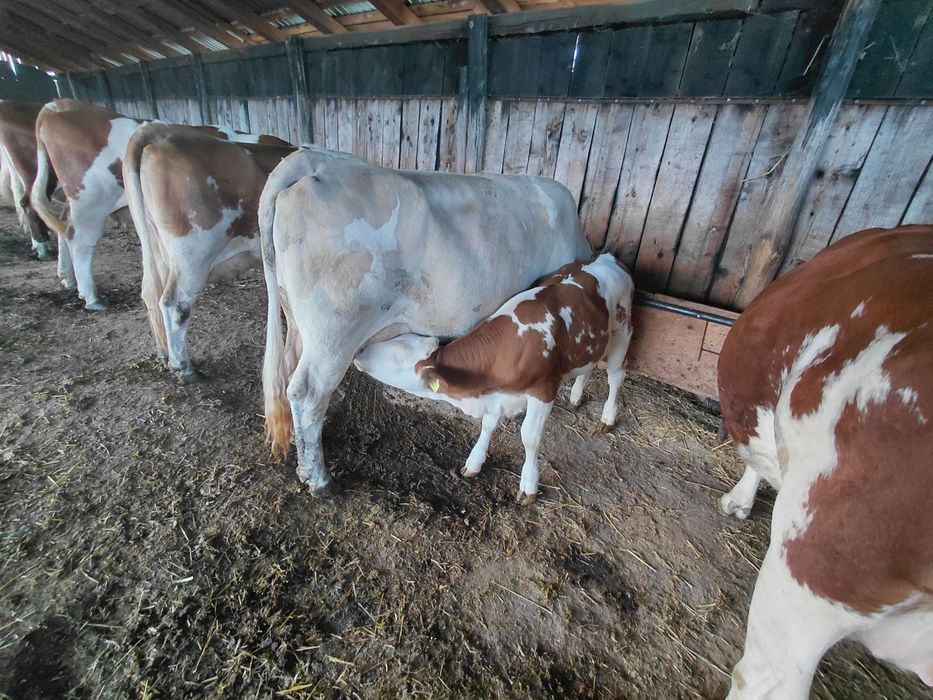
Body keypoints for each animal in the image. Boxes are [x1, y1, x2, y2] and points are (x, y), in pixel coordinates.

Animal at [30, 99, 291, 310]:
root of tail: (57, 105)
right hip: (97, 207)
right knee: (81, 242)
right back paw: (93, 298)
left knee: (64, 228)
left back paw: (67, 278)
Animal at [123, 122, 294, 382]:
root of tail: (159, 133)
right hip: (192, 255)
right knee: (174, 304)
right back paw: (183, 369)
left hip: (159, 251)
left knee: (151, 294)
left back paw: (164, 354)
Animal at [259, 147, 592, 492]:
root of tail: (314, 158)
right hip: (334, 333)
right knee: (307, 392)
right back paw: (317, 477)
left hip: (297, 321)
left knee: (288, 371)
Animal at [353, 253, 633, 503]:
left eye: (397, 355)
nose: (360, 351)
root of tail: (607, 257)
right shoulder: (495, 396)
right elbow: (488, 424)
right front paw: (474, 462)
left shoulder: (544, 389)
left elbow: (529, 436)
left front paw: (528, 485)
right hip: (591, 342)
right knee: (588, 367)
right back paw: (576, 397)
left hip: (623, 332)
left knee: (615, 376)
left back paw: (608, 417)